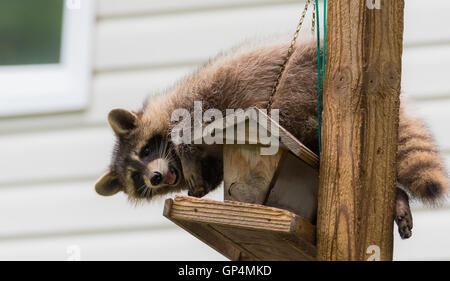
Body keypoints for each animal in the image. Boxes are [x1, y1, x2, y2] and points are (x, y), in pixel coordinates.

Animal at [95, 40, 446, 238]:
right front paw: (200, 185)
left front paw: (188, 154)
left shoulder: (197, 99)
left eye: (146, 150)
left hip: (298, 85)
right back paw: (397, 197)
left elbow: (190, 129)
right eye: (136, 178)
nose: (154, 177)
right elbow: (212, 174)